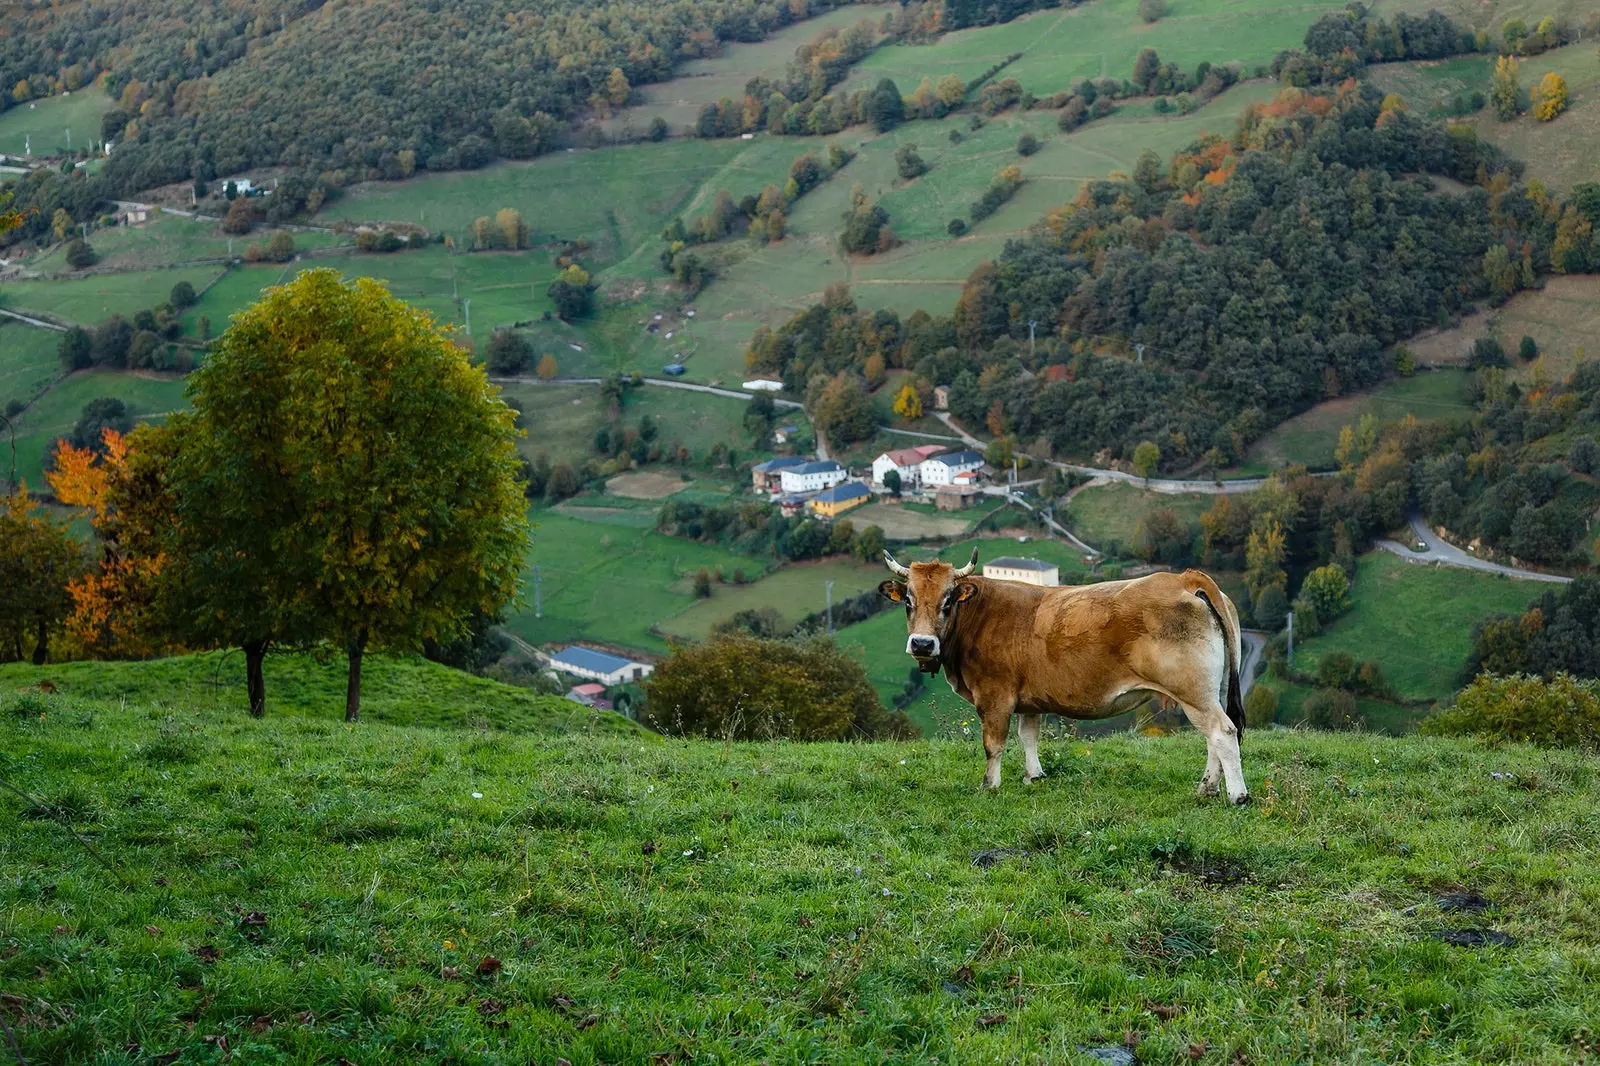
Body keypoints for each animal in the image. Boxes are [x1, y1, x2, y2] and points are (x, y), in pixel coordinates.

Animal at [883, 547, 1241, 797]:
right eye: (908, 601)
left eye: (947, 602)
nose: (922, 643)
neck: (977, 615)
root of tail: (1182, 578)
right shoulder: (1028, 699)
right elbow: (1028, 736)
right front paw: (1034, 776)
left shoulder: (994, 697)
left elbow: (993, 744)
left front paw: (990, 785)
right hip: (1212, 690)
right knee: (1215, 735)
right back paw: (1207, 788)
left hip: (1192, 691)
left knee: (1222, 732)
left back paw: (1236, 795)